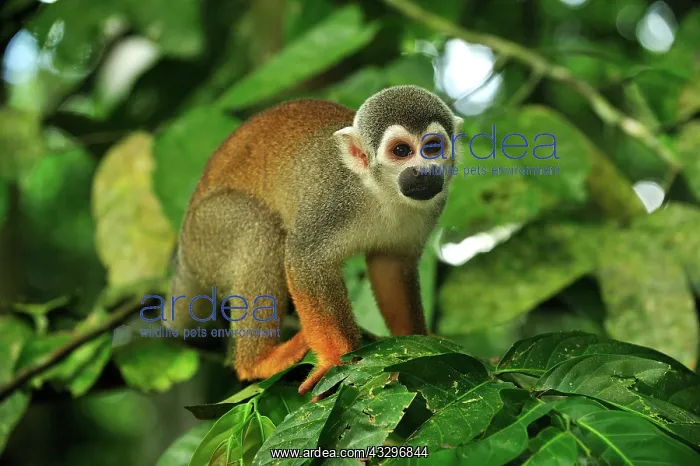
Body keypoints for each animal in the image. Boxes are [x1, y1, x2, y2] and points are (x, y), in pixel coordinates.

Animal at [164, 85, 464, 396]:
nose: (423, 171)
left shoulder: (432, 207)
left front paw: (416, 343)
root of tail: (184, 250)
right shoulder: (332, 199)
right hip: (208, 232)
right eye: (401, 151)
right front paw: (335, 360)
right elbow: (304, 259)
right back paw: (258, 362)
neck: (379, 191)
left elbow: (391, 266)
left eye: (432, 148)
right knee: (260, 229)